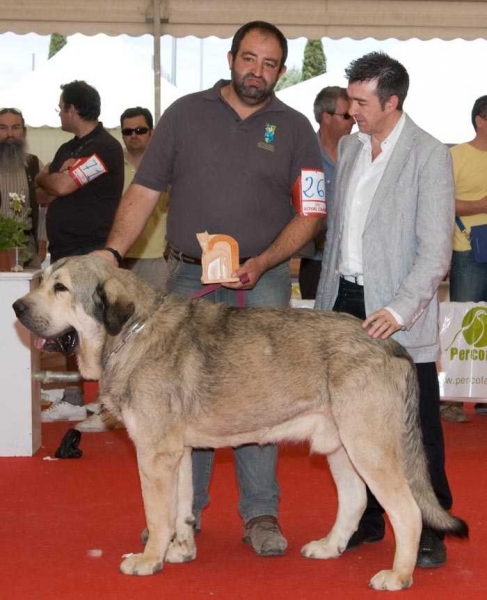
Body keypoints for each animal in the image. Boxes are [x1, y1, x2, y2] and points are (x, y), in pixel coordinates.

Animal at [12, 254, 468, 592]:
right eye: (40, 280)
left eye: (61, 288)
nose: (17, 307)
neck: (130, 333)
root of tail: (388, 342)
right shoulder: (179, 454)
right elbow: (182, 510)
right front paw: (179, 553)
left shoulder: (154, 455)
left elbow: (157, 515)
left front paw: (149, 560)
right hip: (341, 447)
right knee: (355, 500)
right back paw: (329, 547)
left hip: (370, 448)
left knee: (407, 511)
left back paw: (398, 576)